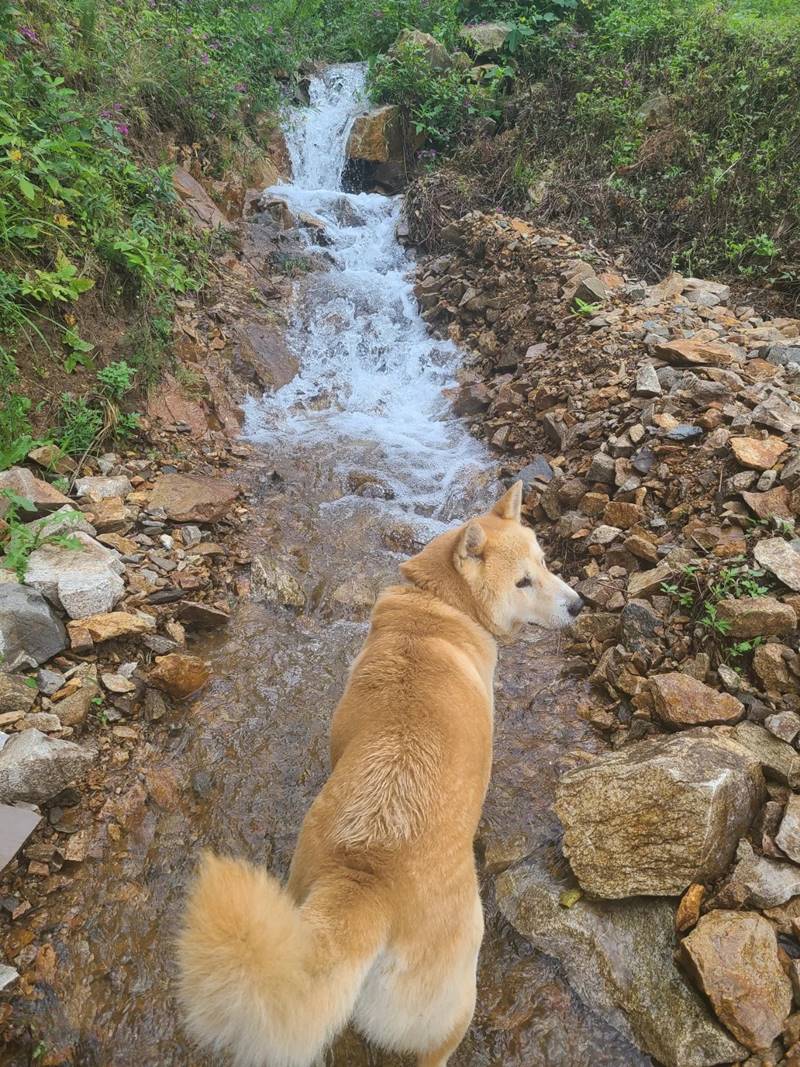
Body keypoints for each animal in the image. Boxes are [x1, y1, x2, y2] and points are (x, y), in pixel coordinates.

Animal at [178, 486, 584, 1067]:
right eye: (522, 582)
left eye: (546, 564)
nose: (578, 605)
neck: (438, 605)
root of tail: (366, 880)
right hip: (451, 1002)